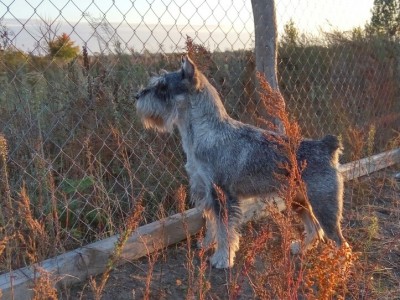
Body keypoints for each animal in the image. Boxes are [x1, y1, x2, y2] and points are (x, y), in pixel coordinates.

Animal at [135, 55, 346, 268]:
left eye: (163, 87)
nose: (137, 96)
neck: (206, 131)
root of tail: (326, 146)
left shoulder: (222, 195)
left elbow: (225, 230)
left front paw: (222, 258)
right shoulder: (207, 193)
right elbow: (212, 224)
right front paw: (207, 243)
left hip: (324, 204)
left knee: (339, 240)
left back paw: (339, 265)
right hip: (298, 199)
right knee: (315, 228)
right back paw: (301, 248)